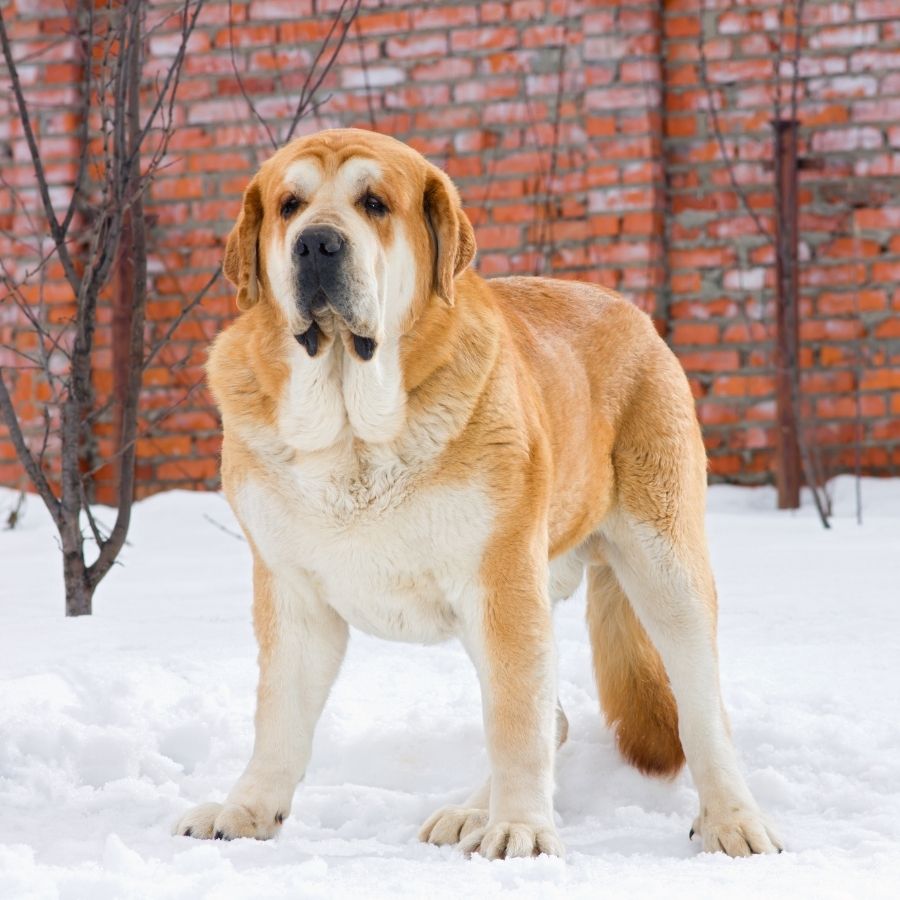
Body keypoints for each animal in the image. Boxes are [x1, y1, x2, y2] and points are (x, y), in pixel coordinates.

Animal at [174, 126, 780, 856]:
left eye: (374, 204)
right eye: (290, 205)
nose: (317, 244)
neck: (354, 432)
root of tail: (630, 310)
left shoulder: (501, 581)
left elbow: (515, 721)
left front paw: (521, 829)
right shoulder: (293, 593)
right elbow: (279, 719)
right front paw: (247, 811)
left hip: (663, 566)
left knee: (697, 709)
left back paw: (732, 819)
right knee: (553, 716)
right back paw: (468, 812)